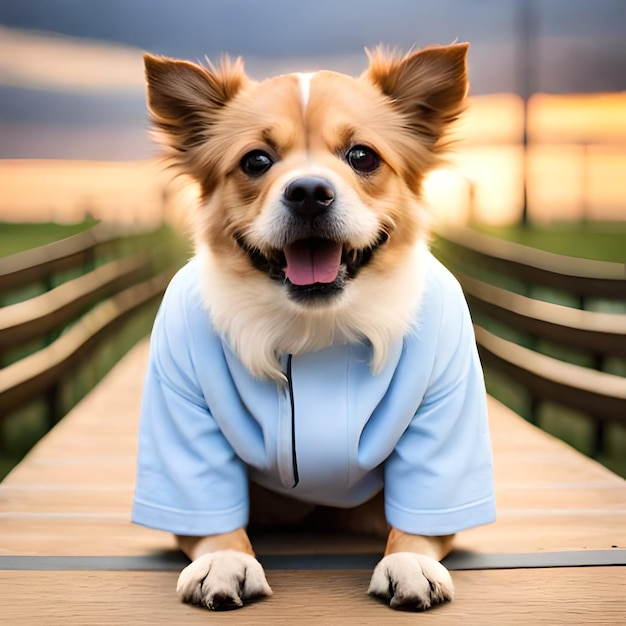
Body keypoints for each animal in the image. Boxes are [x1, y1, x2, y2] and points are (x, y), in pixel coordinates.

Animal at [132, 42, 492, 608]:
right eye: (256, 161)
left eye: (362, 156)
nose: (307, 192)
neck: (315, 329)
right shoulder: (181, 413)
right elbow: (213, 518)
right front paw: (225, 559)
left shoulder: (445, 416)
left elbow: (416, 521)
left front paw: (408, 561)